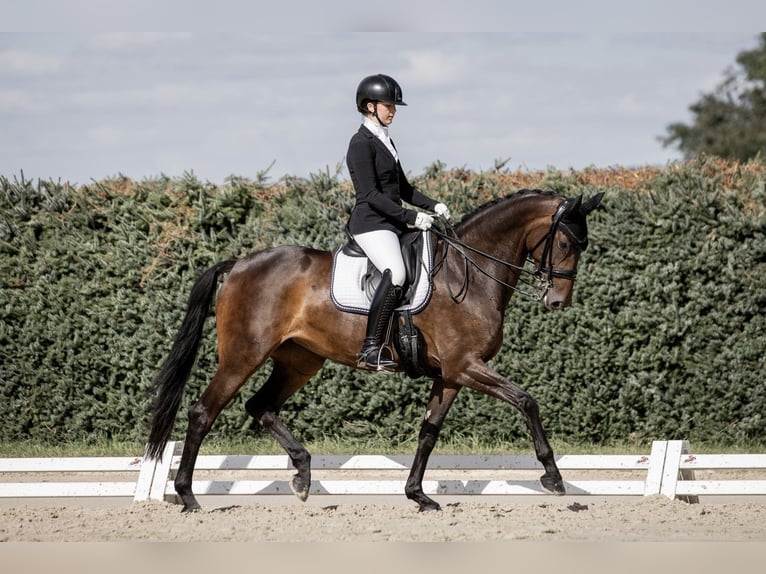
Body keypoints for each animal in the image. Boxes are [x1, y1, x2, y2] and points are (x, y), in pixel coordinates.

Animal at [147, 189, 608, 512]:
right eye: (565, 244)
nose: (557, 301)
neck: (470, 274)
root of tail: (240, 264)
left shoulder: (451, 375)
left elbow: (428, 433)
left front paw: (418, 495)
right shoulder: (466, 366)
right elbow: (527, 401)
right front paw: (553, 477)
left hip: (300, 360)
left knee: (262, 406)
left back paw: (303, 475)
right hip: (243, 356)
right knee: (203, 413)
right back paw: (188, 497)